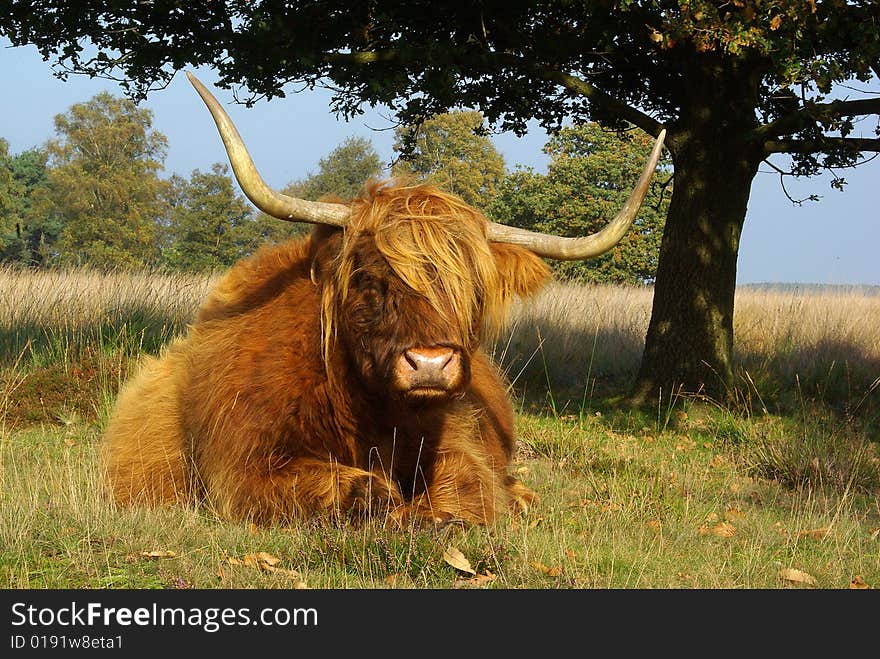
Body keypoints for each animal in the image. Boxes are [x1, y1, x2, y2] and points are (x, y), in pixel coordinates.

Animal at [101, 72, 668, 524]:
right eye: (369, 279)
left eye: (473, 291)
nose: (431, 364)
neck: (364, 406)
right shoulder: (245, 471)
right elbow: (365, 491)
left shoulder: (456, 439)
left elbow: (466, 492)